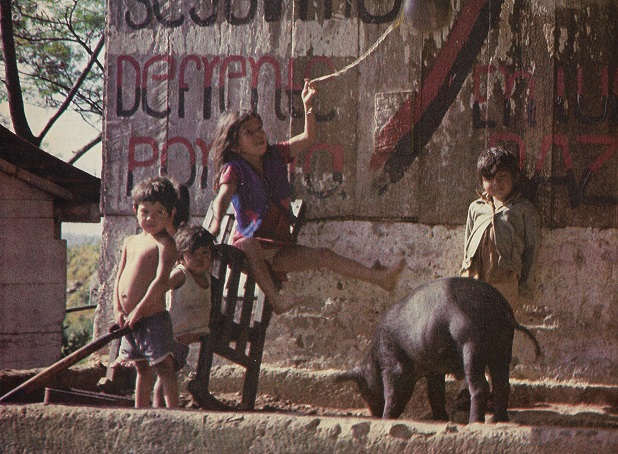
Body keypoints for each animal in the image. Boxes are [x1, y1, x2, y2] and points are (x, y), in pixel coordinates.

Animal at [336, 274, 540, 424]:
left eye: (363, 389)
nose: (375, 414)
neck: (374, 359)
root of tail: (501, 309)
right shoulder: (434, 369)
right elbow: (435, 393)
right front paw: (441, 419)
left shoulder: (393, 364)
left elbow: (392, 391)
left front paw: (386, 419)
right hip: (503, 347)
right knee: (502, 384)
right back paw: (499, 420)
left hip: (472, 344)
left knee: (481, 385)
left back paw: (474, 422)